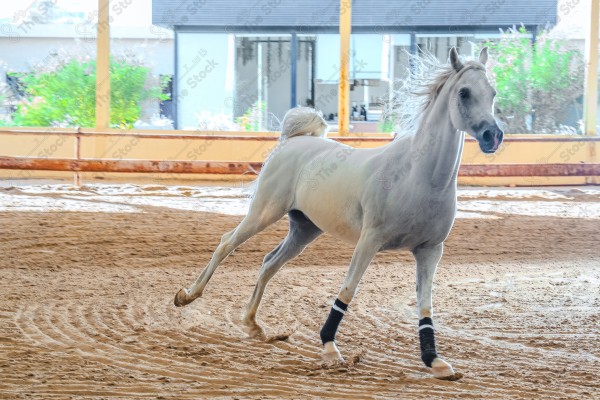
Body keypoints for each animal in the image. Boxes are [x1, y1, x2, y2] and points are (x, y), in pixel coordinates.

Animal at [173, 48, 502, 380]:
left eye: (493, 92)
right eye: (464, 92)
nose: (493, 135)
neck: (417, 175)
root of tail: (292, 141)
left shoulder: (430, 250)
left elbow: (425, 305)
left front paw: (435, 361)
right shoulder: (369, 241)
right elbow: (348, 289)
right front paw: (330, 349)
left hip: (304, 230)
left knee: (269, 263)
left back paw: (253, 325)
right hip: (264, 212)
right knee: (227, 243)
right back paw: (187, 296)